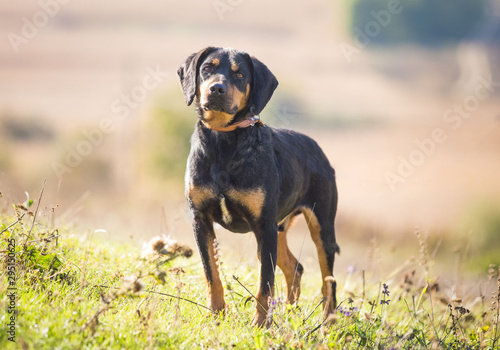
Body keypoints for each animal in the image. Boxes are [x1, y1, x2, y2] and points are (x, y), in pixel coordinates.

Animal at [177, 47, 340, 328]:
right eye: (207, 68)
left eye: (240, 74)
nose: (217, 89)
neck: (223, 141)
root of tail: (318, 150)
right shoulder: (201, 219)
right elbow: (212, 274)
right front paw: (216, 314)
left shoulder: (263, 225)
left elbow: (265, 282)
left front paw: (261, 324)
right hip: (279, 228)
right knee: (295, 268)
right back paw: (289, 311)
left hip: (320, 226)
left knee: (328, 280)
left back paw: (327, 323)